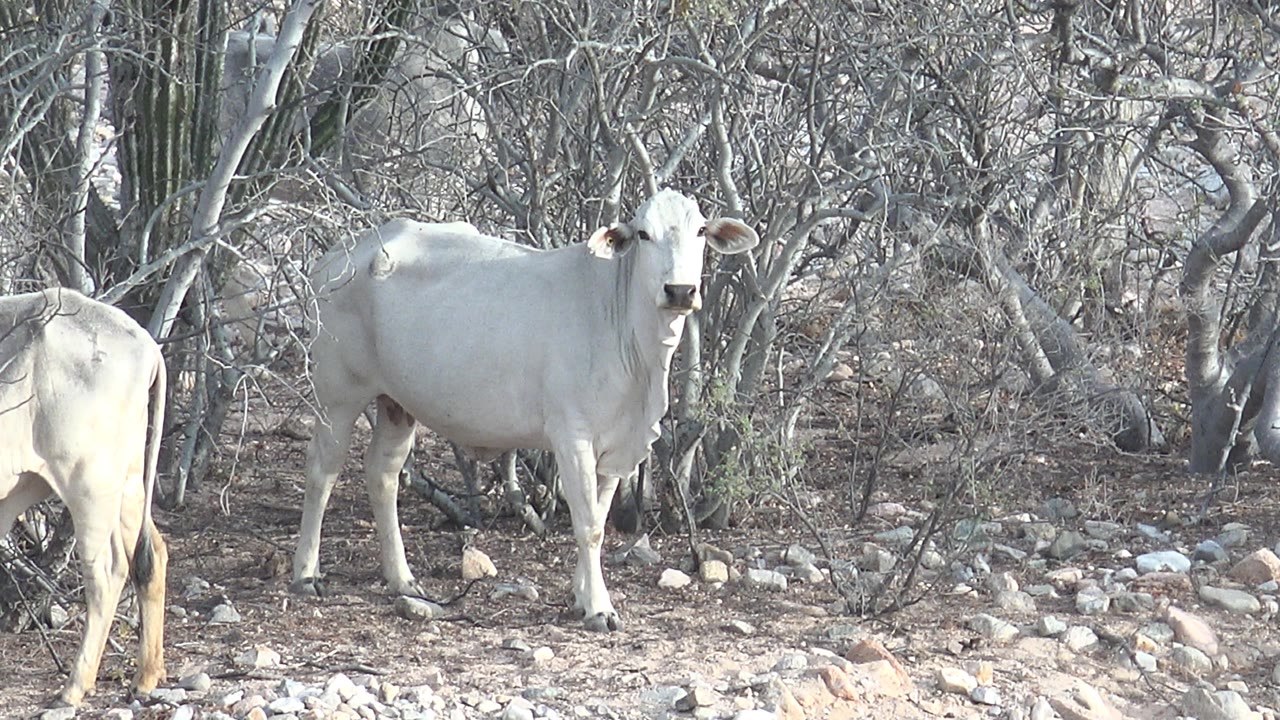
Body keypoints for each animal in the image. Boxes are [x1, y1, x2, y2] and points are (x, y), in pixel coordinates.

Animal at [0, 288, 168, 706]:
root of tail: (146, 344)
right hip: (127, 483)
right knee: (151, 556)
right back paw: (146, 677)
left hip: (88, 482)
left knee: (107, 574)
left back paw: (74, 686)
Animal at [293, 190, 759, 631]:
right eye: (644, 234)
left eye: (700, 231)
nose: (680, 291)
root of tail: (343, 251)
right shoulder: (572, 435)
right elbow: (588, 524)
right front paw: (599, 608)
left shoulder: (614, 445)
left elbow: (598, 516)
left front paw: (581, 596)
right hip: (337, 391)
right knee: (323, 469)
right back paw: (306, 574)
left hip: (396, 402)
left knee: (383, 473)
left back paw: (401, 578)